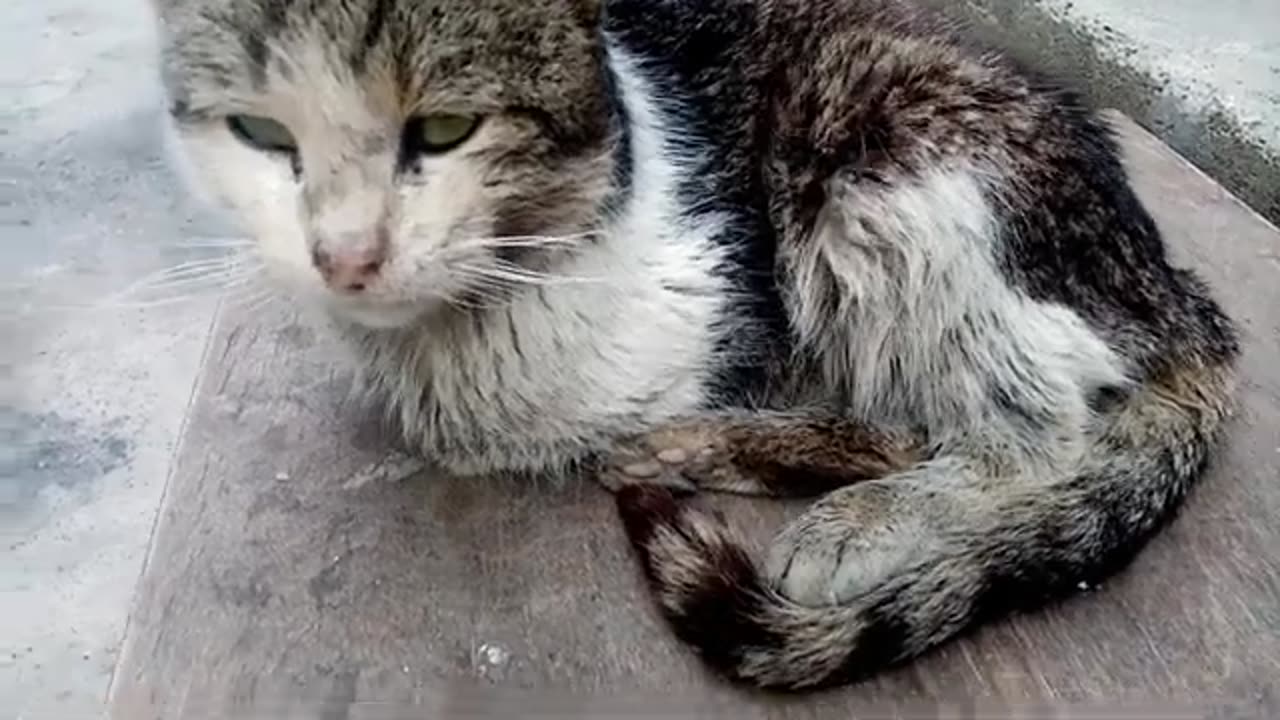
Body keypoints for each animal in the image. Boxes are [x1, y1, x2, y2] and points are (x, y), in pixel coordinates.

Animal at [149, 0, 1239, 691]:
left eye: (447, 127)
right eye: (260, 133)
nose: (346, 257)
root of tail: (1174, 289)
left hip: (882, 147)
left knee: (1029, 426)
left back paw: (847, 517)